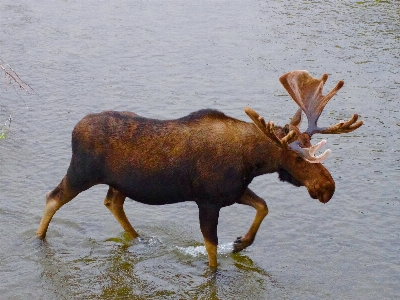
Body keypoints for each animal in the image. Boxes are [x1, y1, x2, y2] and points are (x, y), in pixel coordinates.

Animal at [36, 70, 362, 268]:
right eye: (297, 159)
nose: (328, 188)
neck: (252, 162)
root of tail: (74, 129)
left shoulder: (233, 192)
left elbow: (263, 206)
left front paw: (241, 243)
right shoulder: (207, 201)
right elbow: (212, 251)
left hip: (118, 183)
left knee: (112, 202)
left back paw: (138, 237)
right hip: (81, 172)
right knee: (53, 197)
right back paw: (39, 238)